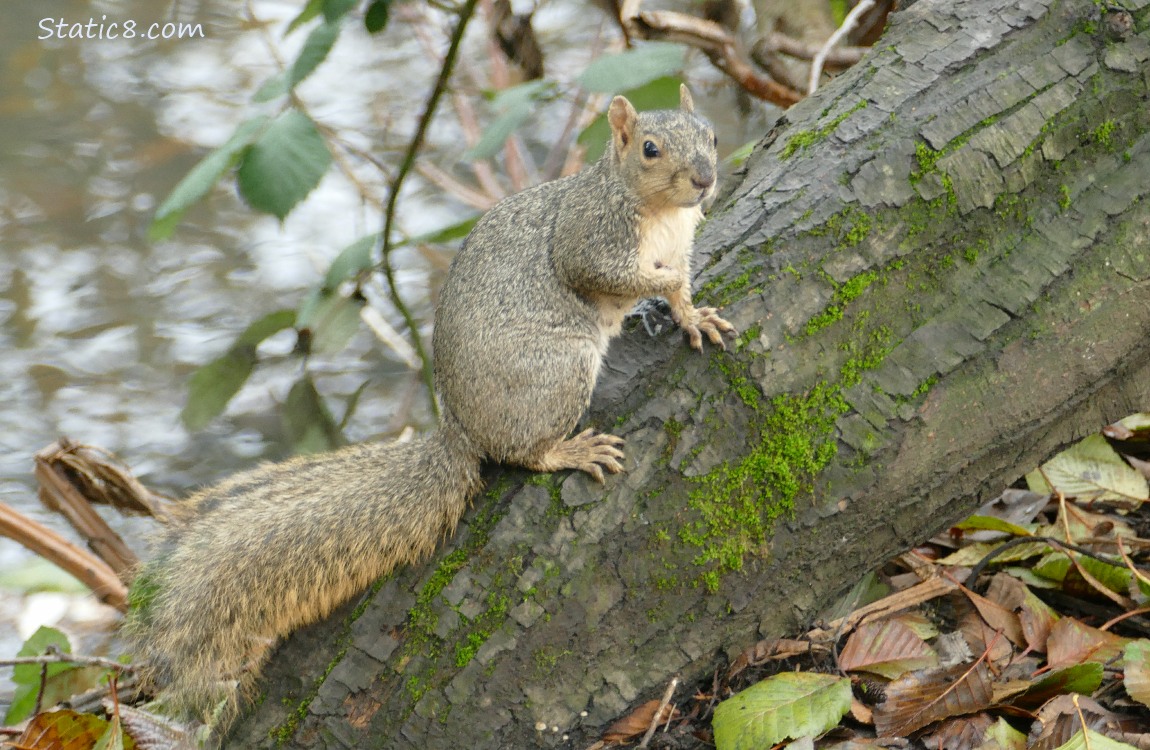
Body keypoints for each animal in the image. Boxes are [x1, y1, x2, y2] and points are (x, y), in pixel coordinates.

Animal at [125, 83, 734, 723]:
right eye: (649, 149)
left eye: (713, 136)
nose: (705, 180)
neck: (660, 215)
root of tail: (461, 429)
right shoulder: (591, 238)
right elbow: (609, 274)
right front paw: (662, 289)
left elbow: (681, 287)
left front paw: (690, 313)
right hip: (558, 370)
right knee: (522, 453)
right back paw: (568, 451)